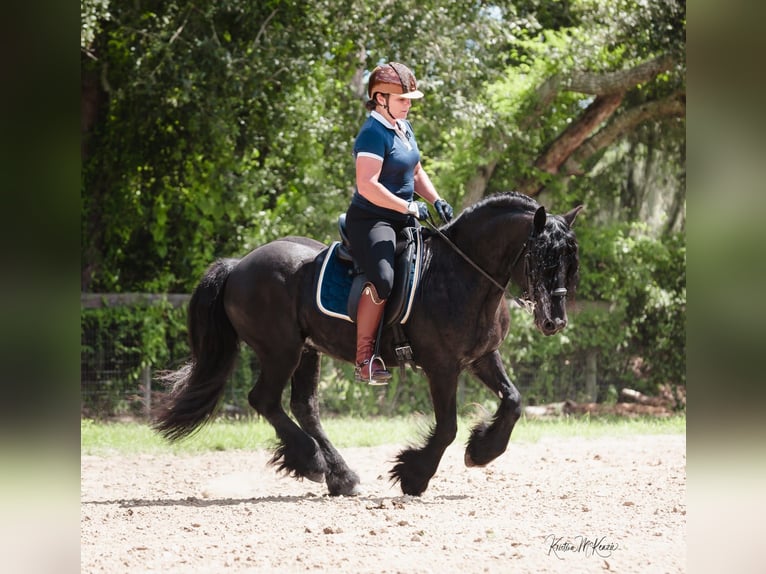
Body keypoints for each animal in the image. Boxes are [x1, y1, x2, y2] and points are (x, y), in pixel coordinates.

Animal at [154, 191, 584, 498]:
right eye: (540, 257)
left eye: (569, 261)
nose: (554, 321)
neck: (461, 273)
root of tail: (239, 264)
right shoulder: (442, 366)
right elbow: (447, 426)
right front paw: (414, 476)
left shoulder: (481, 357)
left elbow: (513, 401)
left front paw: (480, 452)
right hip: (280, 350)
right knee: (265, 400)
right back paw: (311, 462)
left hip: (307, 351)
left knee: (303, 407)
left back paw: (339, 476)